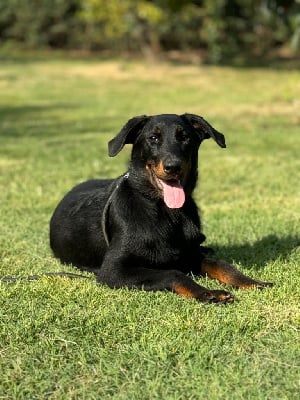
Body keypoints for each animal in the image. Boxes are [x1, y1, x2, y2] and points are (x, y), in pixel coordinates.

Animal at [50, 112, 274, 304]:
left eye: (184, 137)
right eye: (153, 138)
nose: (173, 166)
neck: (167, 213)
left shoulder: (189, 255)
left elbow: (221, 265)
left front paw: (252, 282)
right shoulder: (113, 270)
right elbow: (173, 273)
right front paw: (207, 292)